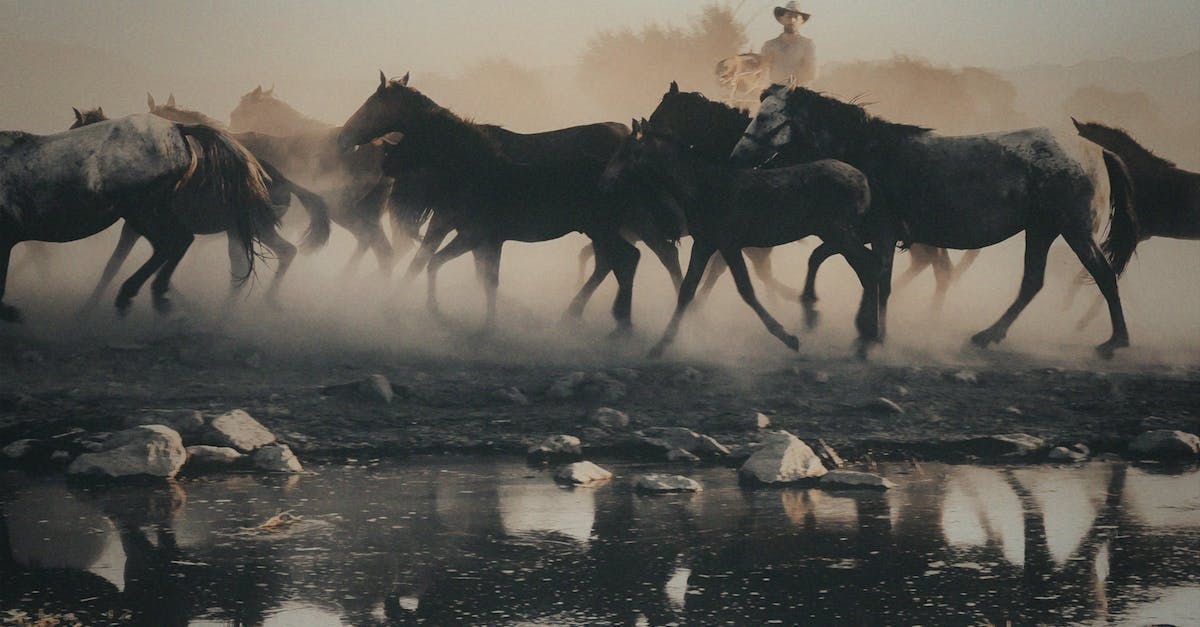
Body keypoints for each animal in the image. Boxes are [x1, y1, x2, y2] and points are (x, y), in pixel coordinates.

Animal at [1, 114, 280, 321]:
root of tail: (176, 128)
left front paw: (12, 312)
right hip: (147, 215)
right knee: (175, 244)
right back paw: (152, 295)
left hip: (143, 212)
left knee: (175, 242)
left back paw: (135, 296)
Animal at [70, 107, 330, 307]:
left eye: (75, 131)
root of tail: (283, 180)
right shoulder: (138, 228)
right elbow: (118, 264)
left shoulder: (138, 227)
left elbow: (115, 265)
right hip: (244, 231)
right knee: (259, 261)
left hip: (255, 228)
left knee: (276, 255)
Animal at [340, 72, 655, 334]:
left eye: (371, 104)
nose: (344, 136)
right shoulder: (465, 228)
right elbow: (471, 270)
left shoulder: (450, 222)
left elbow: (427, 261)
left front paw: (392, 305)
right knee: (609, 261)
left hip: (604, 228)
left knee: (615, 260)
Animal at [604, 119, 879, 357]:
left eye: (627, 150)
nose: (606, 180)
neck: (703, 188)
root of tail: (862, 180)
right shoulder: (704, 244)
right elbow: (687, 290)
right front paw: (661, 345)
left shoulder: (729, 244)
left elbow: (746, 289)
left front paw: (788, 338)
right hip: (835, 233)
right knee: (864, 265)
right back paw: (861, 335)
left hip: (837, 231)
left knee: (867, 264)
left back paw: (864, 337)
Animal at [731, 85, 1137, 358]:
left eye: (765, 117)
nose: (737, 156)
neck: (865, 154)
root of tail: (1091, 151)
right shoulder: (858, 232)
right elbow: (826, 259)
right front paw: (815, 311)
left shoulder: (880, 231)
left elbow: (878, 278)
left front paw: (871, 333)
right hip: (1041, 230)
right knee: (1032, 283)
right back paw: (987, 335)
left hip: (1073, 230)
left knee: (1102, 275)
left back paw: (1114, 342)